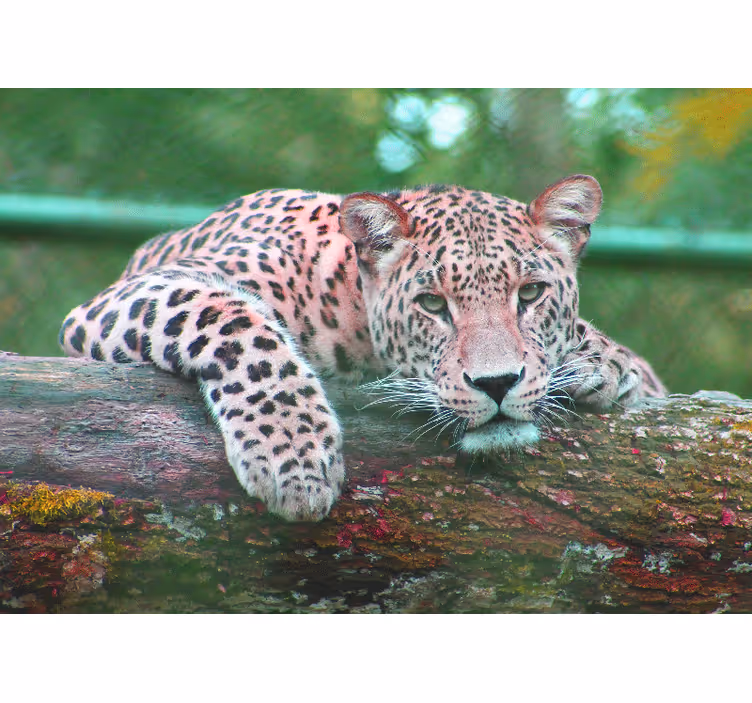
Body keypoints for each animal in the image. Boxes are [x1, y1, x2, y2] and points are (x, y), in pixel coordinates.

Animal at [59, 174, 666, 521]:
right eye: (432, 304)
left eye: (532, 294)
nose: (496, 384)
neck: (347, 302)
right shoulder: (132, 294)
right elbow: (236, 322)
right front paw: (294, 457)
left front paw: (606, 363)